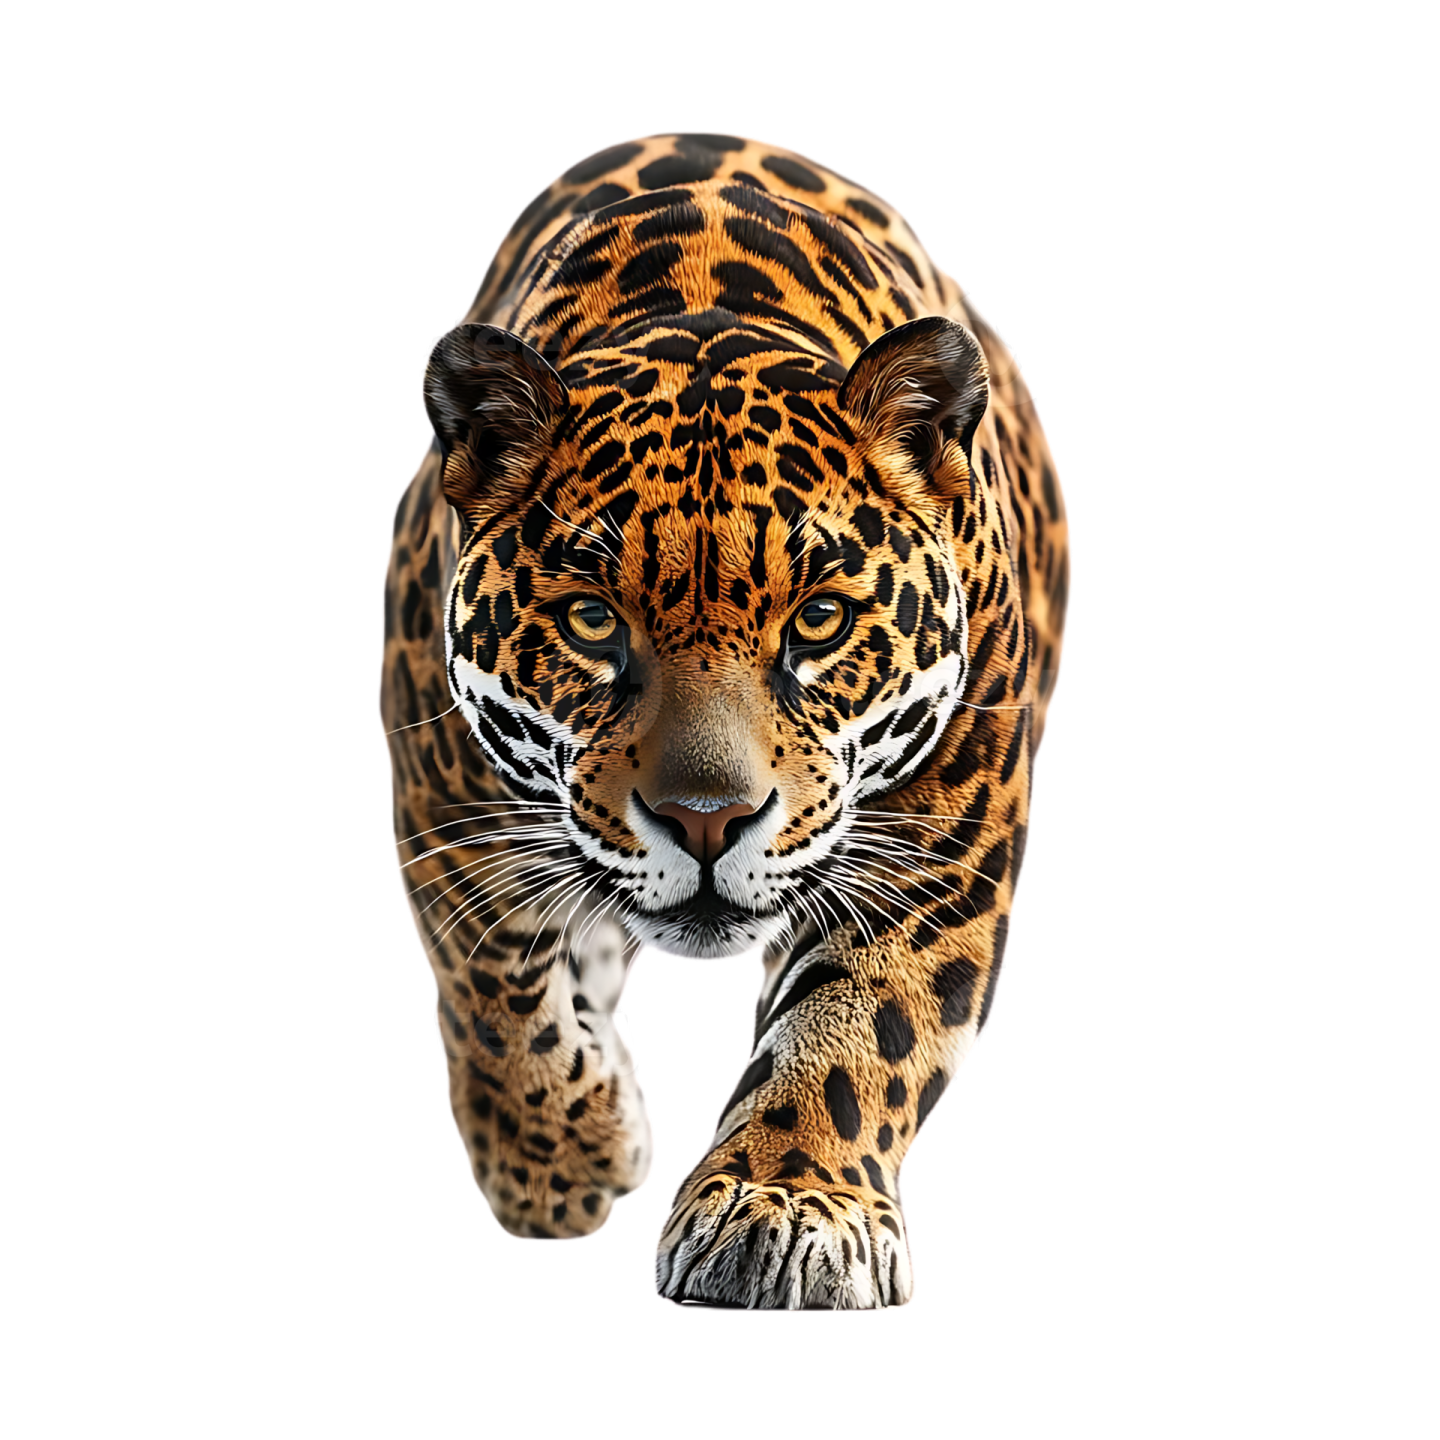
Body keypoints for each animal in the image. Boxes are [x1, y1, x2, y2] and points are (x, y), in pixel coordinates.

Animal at [380, 131, 1070, 1310]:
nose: (706, 821)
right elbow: (494, 978)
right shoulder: (442, 798)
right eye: (592, 620)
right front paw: (561, 1162)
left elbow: (856, 1031)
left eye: (821, 620)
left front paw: (787, 1204)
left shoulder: (939, 840)